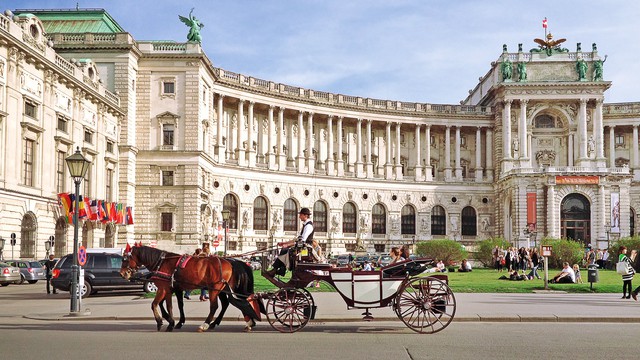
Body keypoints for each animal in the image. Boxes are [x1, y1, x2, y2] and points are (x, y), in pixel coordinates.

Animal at [119, 245, 258, 332]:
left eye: (125, 259)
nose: (122, 273)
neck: (162, 262)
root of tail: (229, 262)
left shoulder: (163, 288)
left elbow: (155, 304)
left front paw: (162, 322)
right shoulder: (171, 289)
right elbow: (172, 305)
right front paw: (173, 321)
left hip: (214, 288)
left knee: (215, 306)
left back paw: (206, 324)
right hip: (222, 289)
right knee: (229, 303)